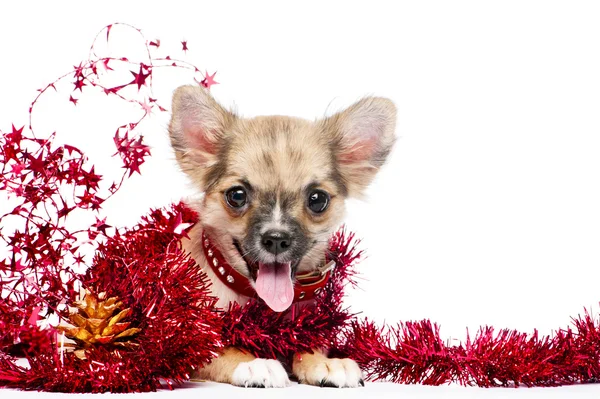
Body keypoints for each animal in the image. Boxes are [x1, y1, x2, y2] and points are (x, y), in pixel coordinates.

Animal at [169, 86, 396, 390]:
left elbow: (308, 344)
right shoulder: (187, 344)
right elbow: (222, 350)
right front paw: (254, 363)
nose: (276, 239)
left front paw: (325, 362)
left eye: (318, 199)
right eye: (236, 195)